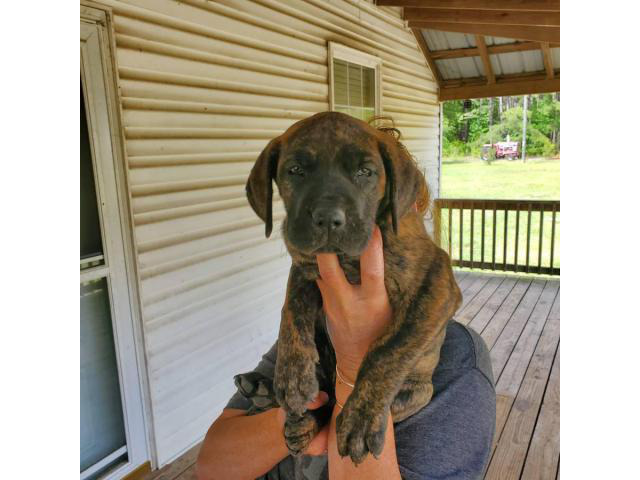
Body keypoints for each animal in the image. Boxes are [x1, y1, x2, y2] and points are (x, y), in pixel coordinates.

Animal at [245, 110, 460, 464]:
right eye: (295, 170)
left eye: (365, 172)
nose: (328, 219)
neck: (345, 259)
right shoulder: (305, 262)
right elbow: (291, 308)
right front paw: (292, 375)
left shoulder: (437, 279)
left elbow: (389, 348)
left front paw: (360, 418)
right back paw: (276, 401)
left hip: (417, 391)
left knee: (339, 401)